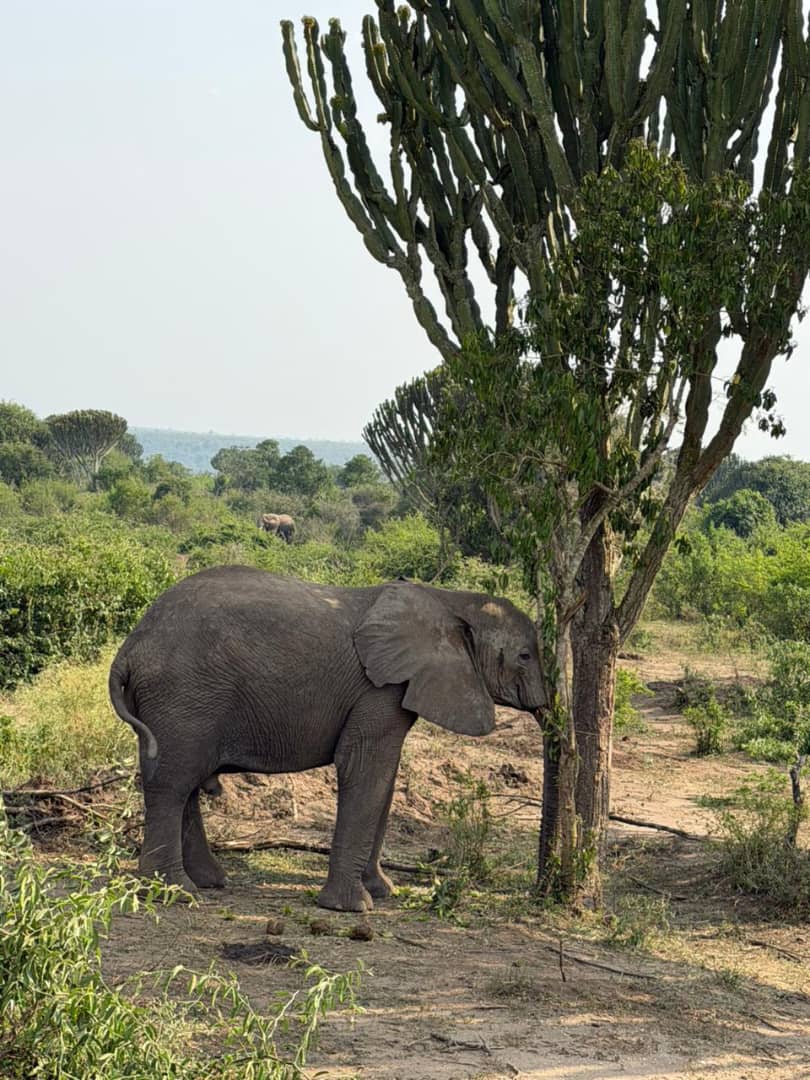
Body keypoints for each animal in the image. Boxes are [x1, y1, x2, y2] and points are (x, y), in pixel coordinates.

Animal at [109, 566, 546, 911]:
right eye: (525, 656)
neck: (449, 600)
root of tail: (130, 647)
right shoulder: (378, 689)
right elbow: (365, 770)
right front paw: (353, 908)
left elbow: (385, 781)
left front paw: (383, 892)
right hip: (183, 696)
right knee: (172, 783)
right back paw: (175, 892)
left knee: (182, 779)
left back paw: (209, 881)